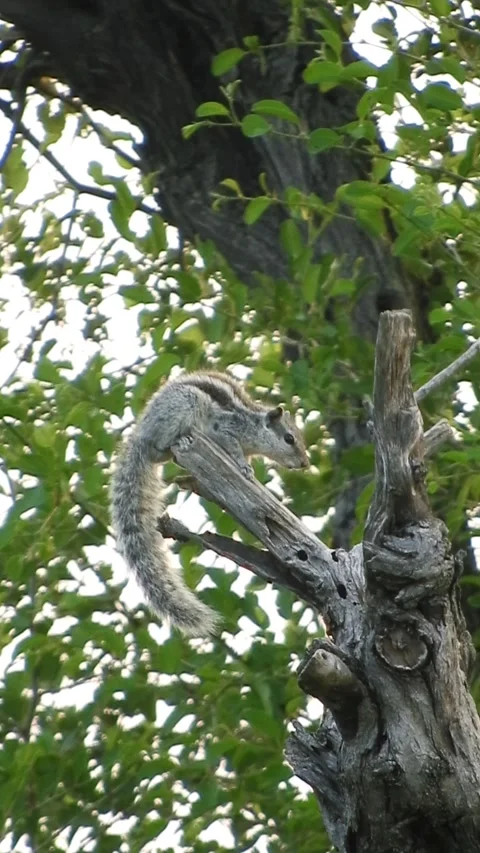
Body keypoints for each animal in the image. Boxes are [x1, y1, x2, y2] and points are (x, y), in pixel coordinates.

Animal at [110, 370, 309, 637]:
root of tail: (141, 436)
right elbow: (234, 448)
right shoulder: (225, 429)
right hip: (184, 406)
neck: (252, 423)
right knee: (158, 448)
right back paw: (180, 440)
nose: (305, 463)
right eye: (289, 438)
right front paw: (244, 468)